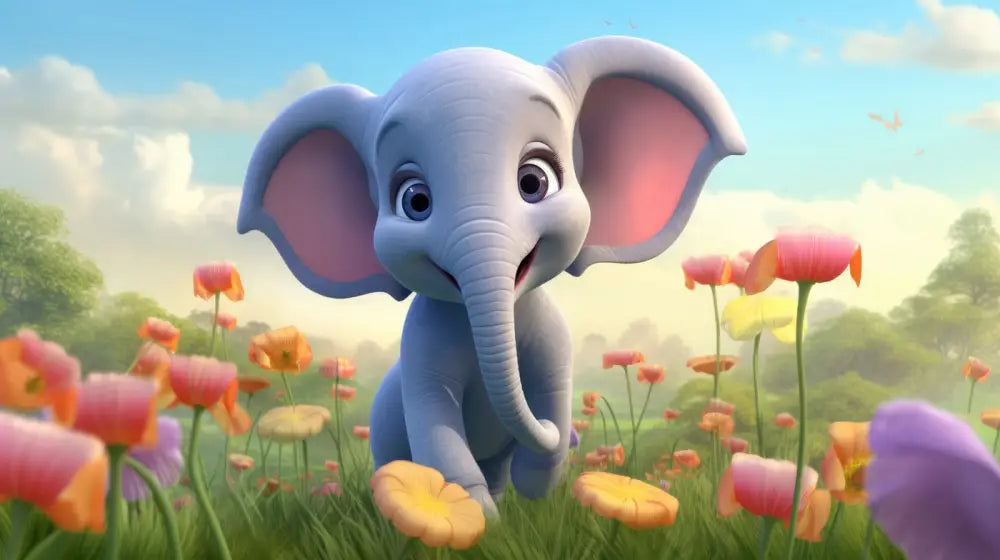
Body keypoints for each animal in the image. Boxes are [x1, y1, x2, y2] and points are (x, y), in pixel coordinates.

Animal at [236, 35, 746, 517]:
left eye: (534, 181)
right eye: (414, 200)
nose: (559, 433)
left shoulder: (552, 338)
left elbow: (554, 395)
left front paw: (534, 482)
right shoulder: (421, 347)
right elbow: (437, 425)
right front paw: (474, 518)